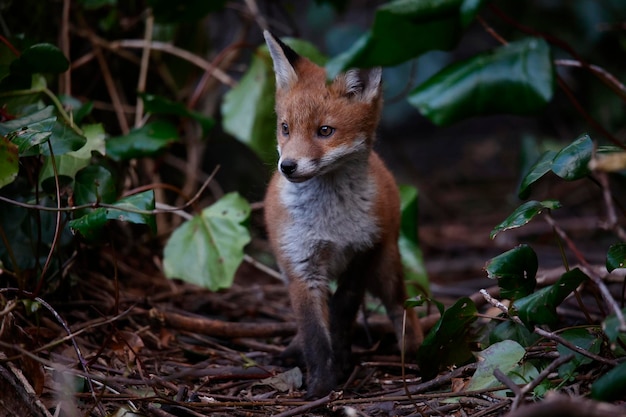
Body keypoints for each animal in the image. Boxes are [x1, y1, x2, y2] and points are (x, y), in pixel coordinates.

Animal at [260, 30, 422, 396]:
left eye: (325, 131)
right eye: (285, 128)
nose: (287, 167)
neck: (329, 223)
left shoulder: (363, 252)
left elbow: (341, 310)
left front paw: (337, 367)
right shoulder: (301, 266)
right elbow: (314, 333)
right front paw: (321, 385)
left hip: (387, 266)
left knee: (400, 308)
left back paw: (419, 355)